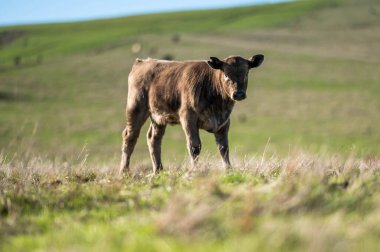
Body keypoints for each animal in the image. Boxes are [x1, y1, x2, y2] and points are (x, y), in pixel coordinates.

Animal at [121, 54, 264, 174]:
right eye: (226, 74)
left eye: (246, 73)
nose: (238, 94)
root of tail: (143, 62)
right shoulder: (188, 117)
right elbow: (195, 146)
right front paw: (196, 169)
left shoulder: (224, 122)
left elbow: (224, 148)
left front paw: (229, 169)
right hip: (136, 109)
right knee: (130, 137)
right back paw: (124, 171)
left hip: (158, 117)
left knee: (153, 138)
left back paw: (158, 170)